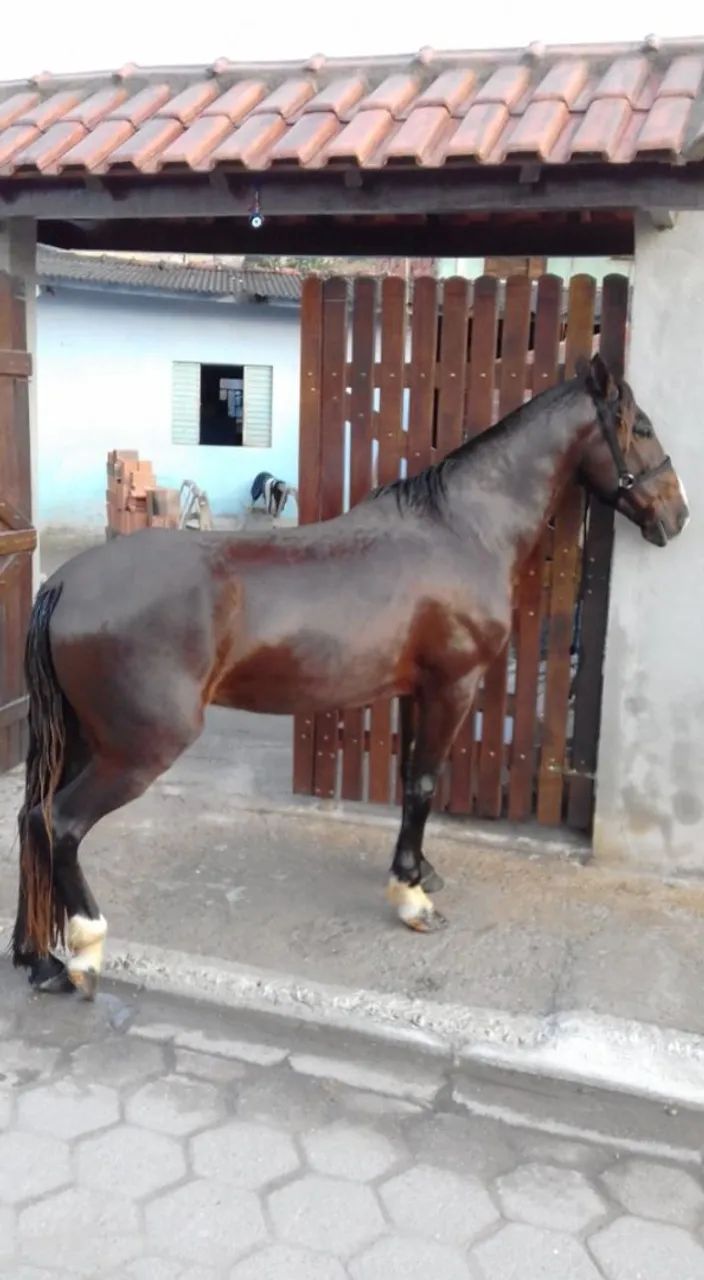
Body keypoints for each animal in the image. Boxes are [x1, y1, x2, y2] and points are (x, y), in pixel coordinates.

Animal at [12, 354, 688, 998]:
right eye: (643, 428)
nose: (677, 516)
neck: (461, 531)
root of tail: (65, 582)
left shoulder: (418, 691)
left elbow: (414, 779)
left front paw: (418, 869)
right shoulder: (454, 686)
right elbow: (423, 782)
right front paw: (412, 898)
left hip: (84, 740)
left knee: (29, 818)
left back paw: (38, 959)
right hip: (138, 750)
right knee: (59, 822)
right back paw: (85, 954)